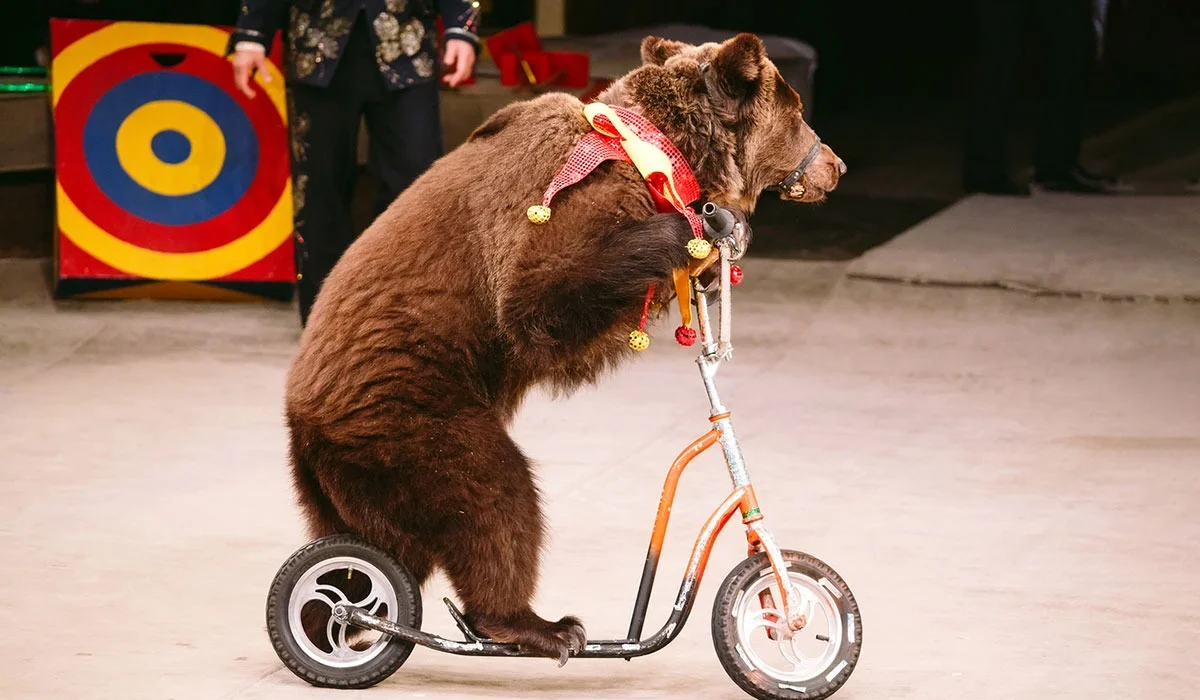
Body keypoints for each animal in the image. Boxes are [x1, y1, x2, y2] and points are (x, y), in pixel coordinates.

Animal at [283, 32, 844, 667]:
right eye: (798, 111)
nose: (836, 165)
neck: (657, 152)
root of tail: (301, 418)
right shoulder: (560, 200)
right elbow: (538, 299)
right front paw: (705, 226)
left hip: (340, 481)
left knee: (365, 553)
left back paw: (337, 617)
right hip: (405, 408)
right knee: (491, 493)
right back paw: (538, 625)